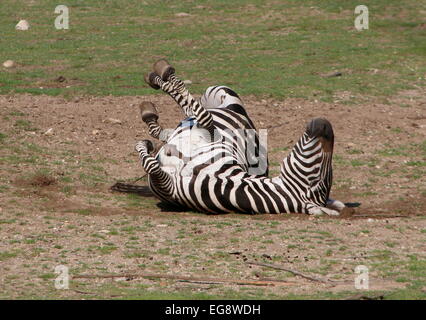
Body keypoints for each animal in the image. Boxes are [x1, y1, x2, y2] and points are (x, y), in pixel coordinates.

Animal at [136, 60, 346, 215]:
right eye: (324, 172)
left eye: (318, 175)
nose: (326, 124)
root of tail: (244, 115)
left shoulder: (171, 184)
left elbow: (152, 164)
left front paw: (144, 144)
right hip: (215, 94)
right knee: (183, 113)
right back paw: (157, 87)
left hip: (217, 95)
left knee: (186, 109)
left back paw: (156, 83)